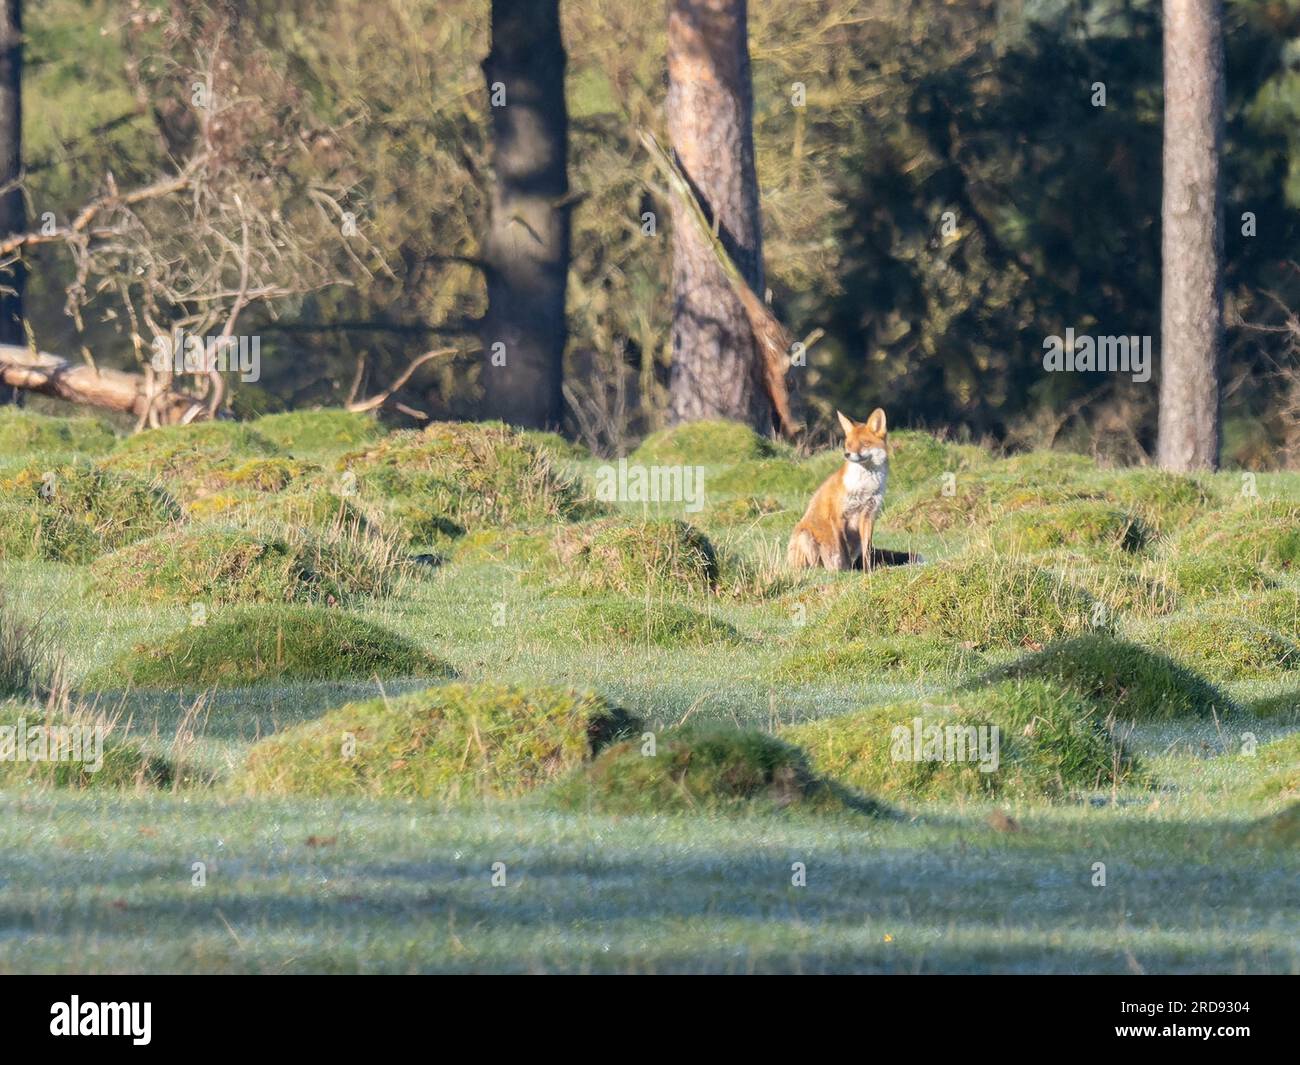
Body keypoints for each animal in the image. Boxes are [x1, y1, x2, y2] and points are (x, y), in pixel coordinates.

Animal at [787, 408, 889, 571]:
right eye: (848, 444)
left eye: (864, 444)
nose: (847, 454)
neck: (864, 488)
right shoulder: (838, 516)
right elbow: (843, 549)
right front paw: (847, 570)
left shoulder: (868, 516)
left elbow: (868, 550)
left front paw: (868, 571)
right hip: (806, 538)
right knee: (816, 566)